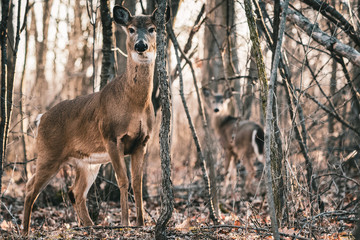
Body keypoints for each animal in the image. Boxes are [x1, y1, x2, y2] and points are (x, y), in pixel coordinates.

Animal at [22, 6, 172, 236]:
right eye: (130, 29)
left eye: (152, 28)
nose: (141, 45)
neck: (134, 103)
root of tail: (41, 118)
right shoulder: (111, 136)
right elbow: (123, 180)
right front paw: (125, 222)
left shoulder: (142, 141)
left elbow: (137, 183)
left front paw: (141, 222)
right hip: (48, 153)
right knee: (31, 188)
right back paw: (25, 230)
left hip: (87, 163)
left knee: (75, 191)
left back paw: (89, 226)